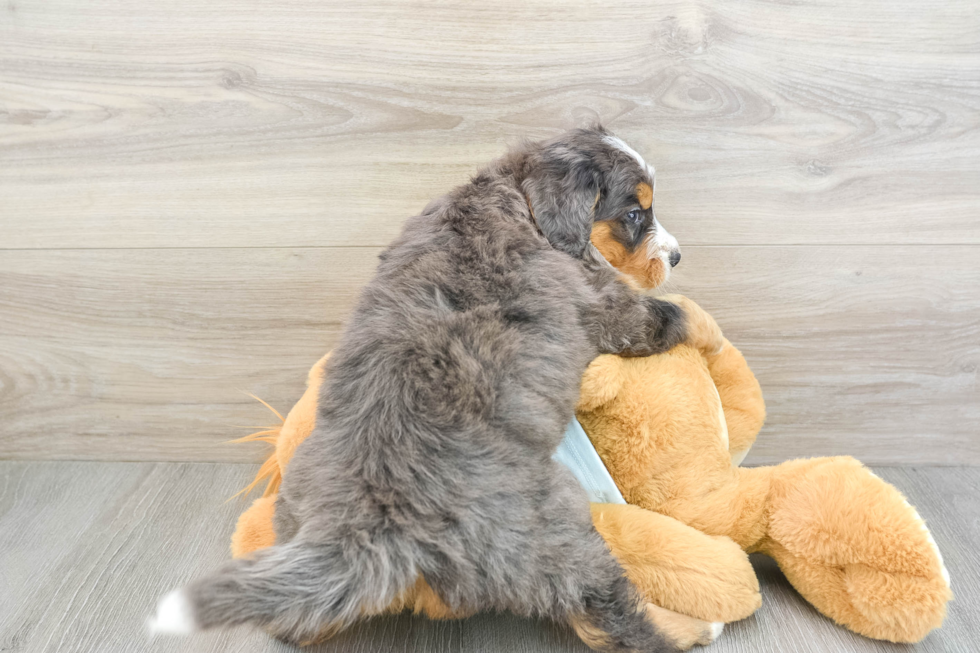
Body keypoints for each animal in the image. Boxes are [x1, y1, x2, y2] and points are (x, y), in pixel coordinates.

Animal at [149, 127, 692, 652]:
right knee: (609, 616)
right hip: (555, 534)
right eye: (635, 213)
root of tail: (376, 527)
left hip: (296, 506)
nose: (678, 256)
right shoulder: (604, 304)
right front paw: (689, 318)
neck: (519, 200)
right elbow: (659, 318)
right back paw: (686, 630)